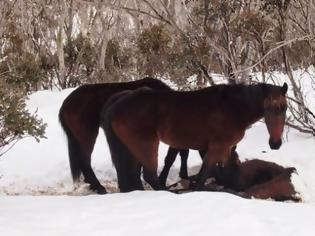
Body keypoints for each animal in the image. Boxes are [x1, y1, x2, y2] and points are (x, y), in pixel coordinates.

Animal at [102, 82, 288, 193]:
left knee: (133, 175)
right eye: (267, 108)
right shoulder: (216, 148)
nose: (275, 143)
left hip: (131, 149)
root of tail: (118, 102)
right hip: (146, 145)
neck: (233, 108)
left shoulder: (225, 149)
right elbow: (203, 176)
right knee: (149, 175)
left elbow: (230, 172)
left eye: (284, 108)